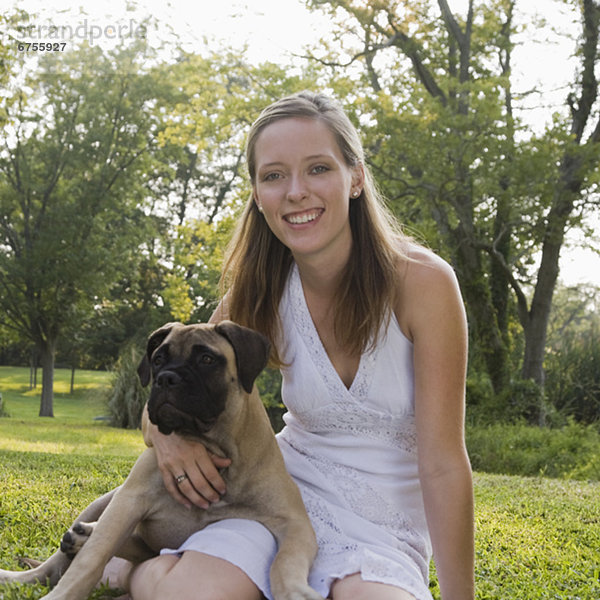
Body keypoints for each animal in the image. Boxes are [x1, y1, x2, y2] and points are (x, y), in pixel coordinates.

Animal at [0, 324, 324, 600]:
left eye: (207, 358)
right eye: (157, 359)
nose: (166, 378)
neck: (211, 444)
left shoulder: (293, 522)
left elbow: (285, 561)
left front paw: (294, 591)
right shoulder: (128, 501)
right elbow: (91, 560)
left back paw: (83, 536)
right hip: (105, 500)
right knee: (57, 564)